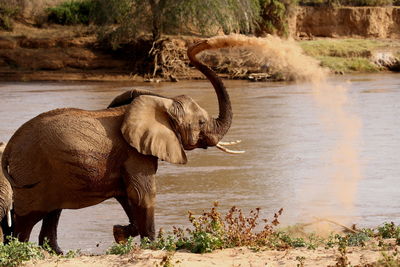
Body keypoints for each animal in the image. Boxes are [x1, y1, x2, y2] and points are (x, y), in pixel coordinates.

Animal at [0, 37, 242, 253]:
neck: (163, 103)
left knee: (53, 211)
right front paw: (151, 245)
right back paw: (22, 250)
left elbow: (128, 196)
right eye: (201, 122)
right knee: (28, 217)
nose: (201, 43)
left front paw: (119, 233)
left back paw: (56, 252)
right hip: (31, 170)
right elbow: (143, 194)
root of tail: (10, 146)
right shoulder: (134, 154)